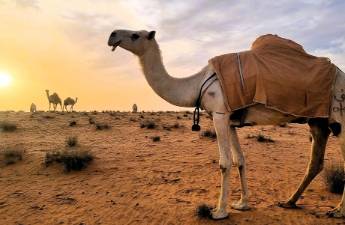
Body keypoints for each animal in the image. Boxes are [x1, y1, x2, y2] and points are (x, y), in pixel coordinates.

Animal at [107, 28, 344, 220]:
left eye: (135, 35)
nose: (112, 35)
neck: (196, 83)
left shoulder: (220, 114)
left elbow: (224, 162)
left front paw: (219, 211)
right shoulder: (230, 121)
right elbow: (240, 160)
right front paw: (242, 204)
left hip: (339, 117)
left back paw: (337, 211)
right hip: (317, 121)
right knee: (315, 162)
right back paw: (289, 202)